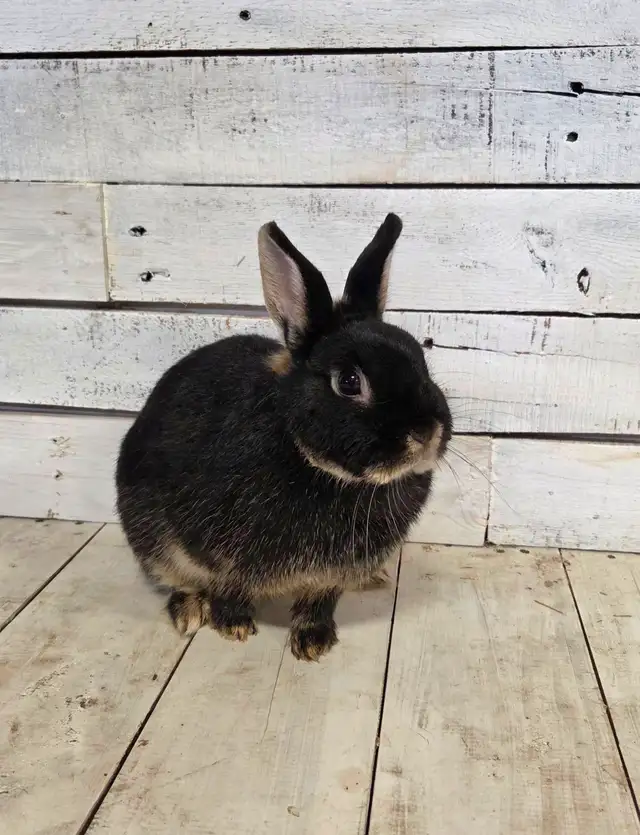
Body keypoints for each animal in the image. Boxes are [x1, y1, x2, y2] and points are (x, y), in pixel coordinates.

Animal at [116, 213, 451, 661]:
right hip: (148, 534)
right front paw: (233, 626)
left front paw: (314, 642)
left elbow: (320, 600)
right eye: (349, 382)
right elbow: (226, 586)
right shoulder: (217, 554)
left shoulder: (330, 574)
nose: (427, 432)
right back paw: (188, 611)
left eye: (421, 358)